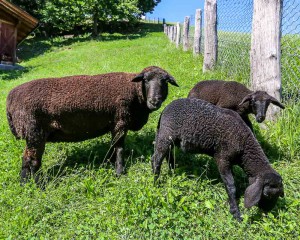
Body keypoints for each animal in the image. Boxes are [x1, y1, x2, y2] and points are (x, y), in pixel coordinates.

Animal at [152, 98, 284, 221]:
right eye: (267, 195)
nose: (267, 212)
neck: (244, 144)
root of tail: (165, 109)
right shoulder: (222, 158)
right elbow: (231, 185)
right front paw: (236, 213)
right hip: (166, 134)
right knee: (157, 159)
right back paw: (155, 183)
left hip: (171, 139)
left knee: (165, 155)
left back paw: (172, 171)